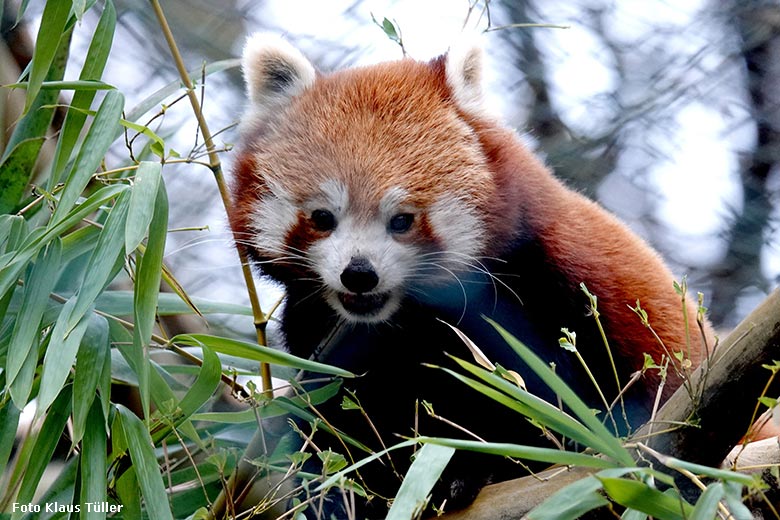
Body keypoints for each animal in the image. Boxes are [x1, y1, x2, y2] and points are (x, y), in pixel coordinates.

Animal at [227, 33, 712, 516]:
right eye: (323, 217)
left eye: (402, 220)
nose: (359, 274)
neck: (405, 323)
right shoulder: (321, 339)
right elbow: (334, 419)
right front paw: (346, 492)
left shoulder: (559, 289)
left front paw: (469, 470)